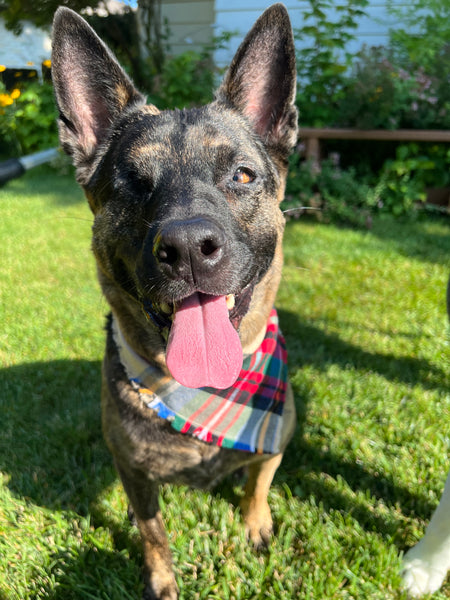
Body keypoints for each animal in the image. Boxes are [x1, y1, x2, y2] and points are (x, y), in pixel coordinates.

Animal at [51, 5, 298, 600]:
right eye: (132, 183)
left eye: (242, 175)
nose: (187, 248)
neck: (205, 392)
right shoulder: (134, 474)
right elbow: (152, 531)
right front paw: (161, 578)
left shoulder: (276, 438)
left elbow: (258, 481)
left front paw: (255, 521)